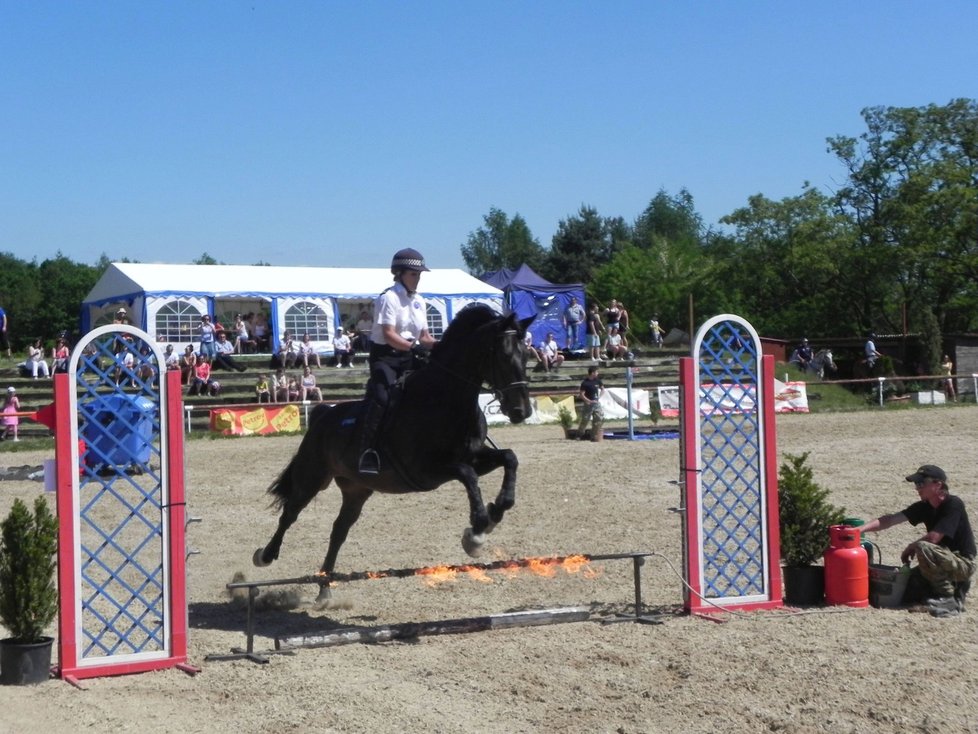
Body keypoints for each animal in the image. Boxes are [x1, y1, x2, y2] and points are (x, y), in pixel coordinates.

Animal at [252, 308, 532, 600]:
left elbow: (510, 458)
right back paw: (265, 555)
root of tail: (324, 413)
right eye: (504, 355)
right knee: (290, 514)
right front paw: (476, 532)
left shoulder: (474, 458)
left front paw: (496, 511)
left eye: (526, 355)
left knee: (339, 530)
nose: (521, 411)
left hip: (357, 489)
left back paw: (325, 588)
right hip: (312, 478)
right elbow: (468, 476)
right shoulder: (429, 470)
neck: (445, 400)